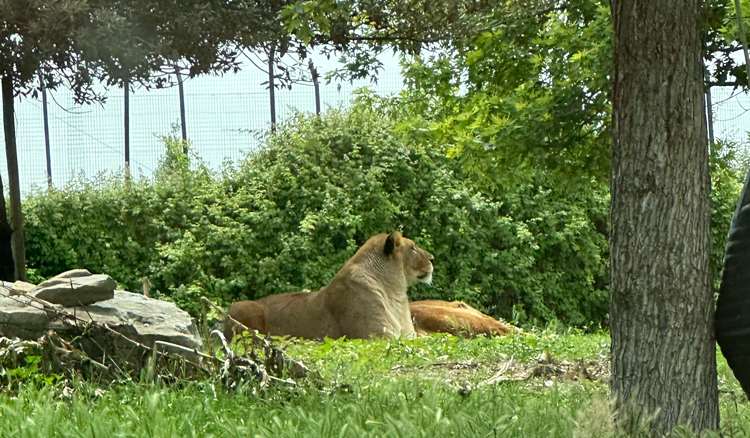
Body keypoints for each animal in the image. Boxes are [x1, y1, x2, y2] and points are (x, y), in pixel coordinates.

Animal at [225, 231, 434, 340]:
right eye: (413, 247)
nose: (432, 258)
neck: (395, 293)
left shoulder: (408, 335)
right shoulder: (374, 336)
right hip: (242, 306)